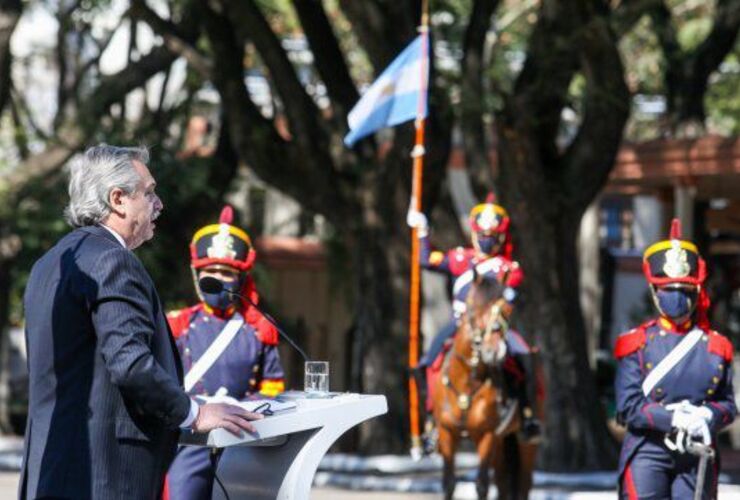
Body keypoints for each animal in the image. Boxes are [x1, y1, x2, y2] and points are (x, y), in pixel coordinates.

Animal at [428, 278, 536, 500]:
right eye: (474, 307)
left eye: (508, 309)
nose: (494, 350)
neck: (468, 381)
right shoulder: (446, 432)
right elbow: (449, 483)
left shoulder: (487, 434)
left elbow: (482, 485)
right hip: (501, 442)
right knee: (503, 483)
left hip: (524, 443)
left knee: (523, 484)